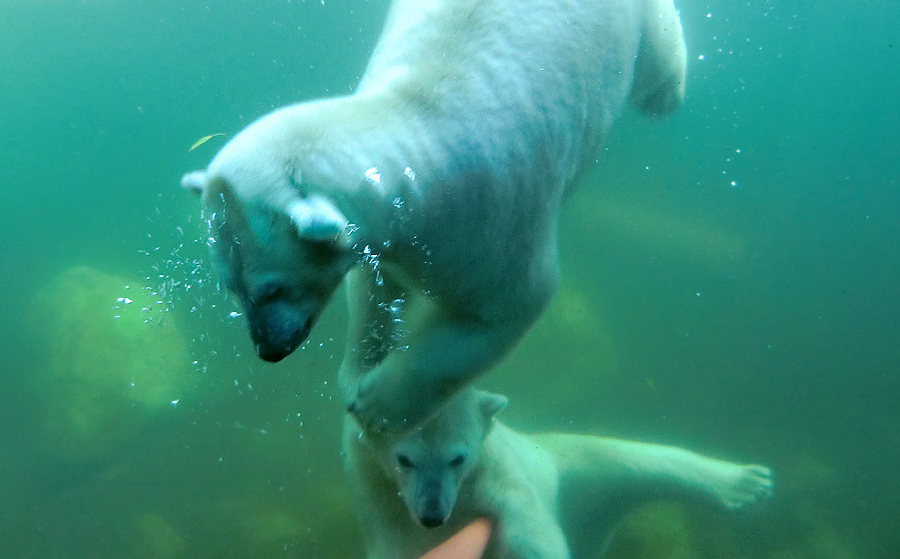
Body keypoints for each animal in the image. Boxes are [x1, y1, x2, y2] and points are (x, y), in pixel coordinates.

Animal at [183, 0, 688, 434]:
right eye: (230, 287)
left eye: (272, 288)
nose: (268, 349)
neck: (417, 120)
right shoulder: (393, 235)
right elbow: (374, 288)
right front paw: (357, 374)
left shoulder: (495, 218)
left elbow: (508, 308)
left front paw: (377, 405)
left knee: (657, 48)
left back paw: (664, 94)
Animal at [344, 392, 772, 559]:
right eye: (404, 459)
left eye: (458, 458)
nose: (433, 514)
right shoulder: (376, 489)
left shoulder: (495, 470)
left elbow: (527, 521)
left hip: (568, 471)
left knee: (622, 458)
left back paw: (746, 482)